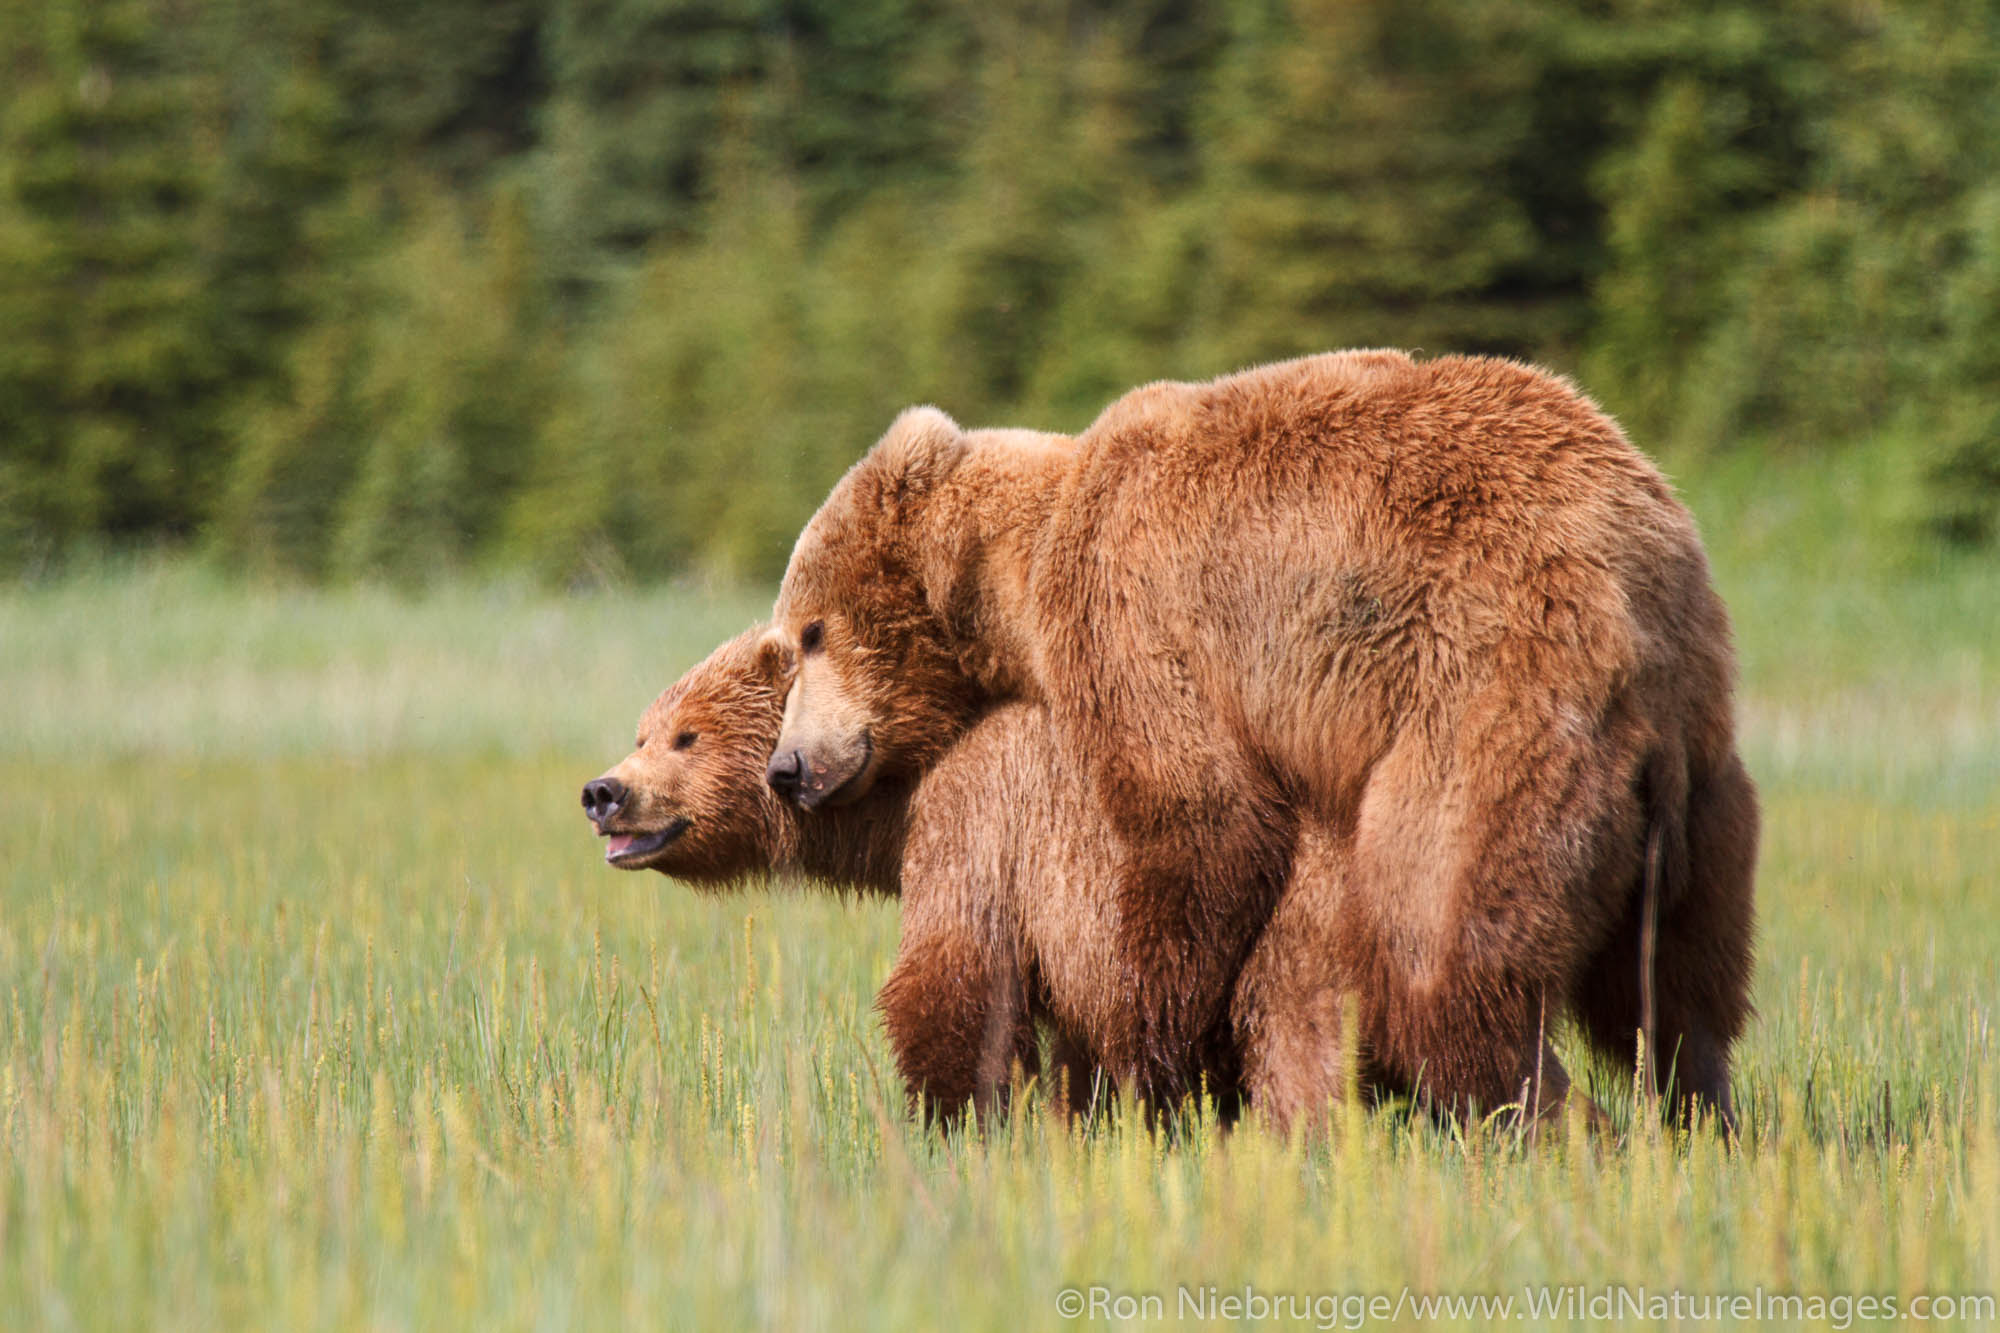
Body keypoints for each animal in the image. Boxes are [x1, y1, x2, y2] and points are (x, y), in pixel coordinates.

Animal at [760, 344, 1752, 1120]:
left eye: (807, 631)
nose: (786, 766)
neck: (1017, 573)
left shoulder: (1130, 607)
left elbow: (1202, 820)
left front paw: (1146, 1049)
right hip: (1702, 775)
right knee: (1676, 989)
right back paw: (1700, 1114)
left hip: (1490, 705)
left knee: (1434, 934)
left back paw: (1537, 1110)